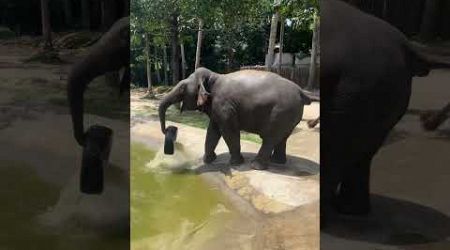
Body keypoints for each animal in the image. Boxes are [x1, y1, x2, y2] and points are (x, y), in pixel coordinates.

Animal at [160, 67, 318, 171]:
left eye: (182, 88)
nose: (169, 129)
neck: (213, 76)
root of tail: (301, 91)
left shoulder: (224, 106)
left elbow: (228, 131)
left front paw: (236, 163)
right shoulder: (217, 108)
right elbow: (212, 131)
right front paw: (208, 161)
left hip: (281, 112)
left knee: (270, 138)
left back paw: (257, 166)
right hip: (289, 114)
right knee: (281, 138)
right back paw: (277, 162)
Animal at [320, 0, 450, 219]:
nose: (426, 120)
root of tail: (406, 45)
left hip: (360, 88)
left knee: (338, 147)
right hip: (377, 93)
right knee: (361, 151)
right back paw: (351, 210)